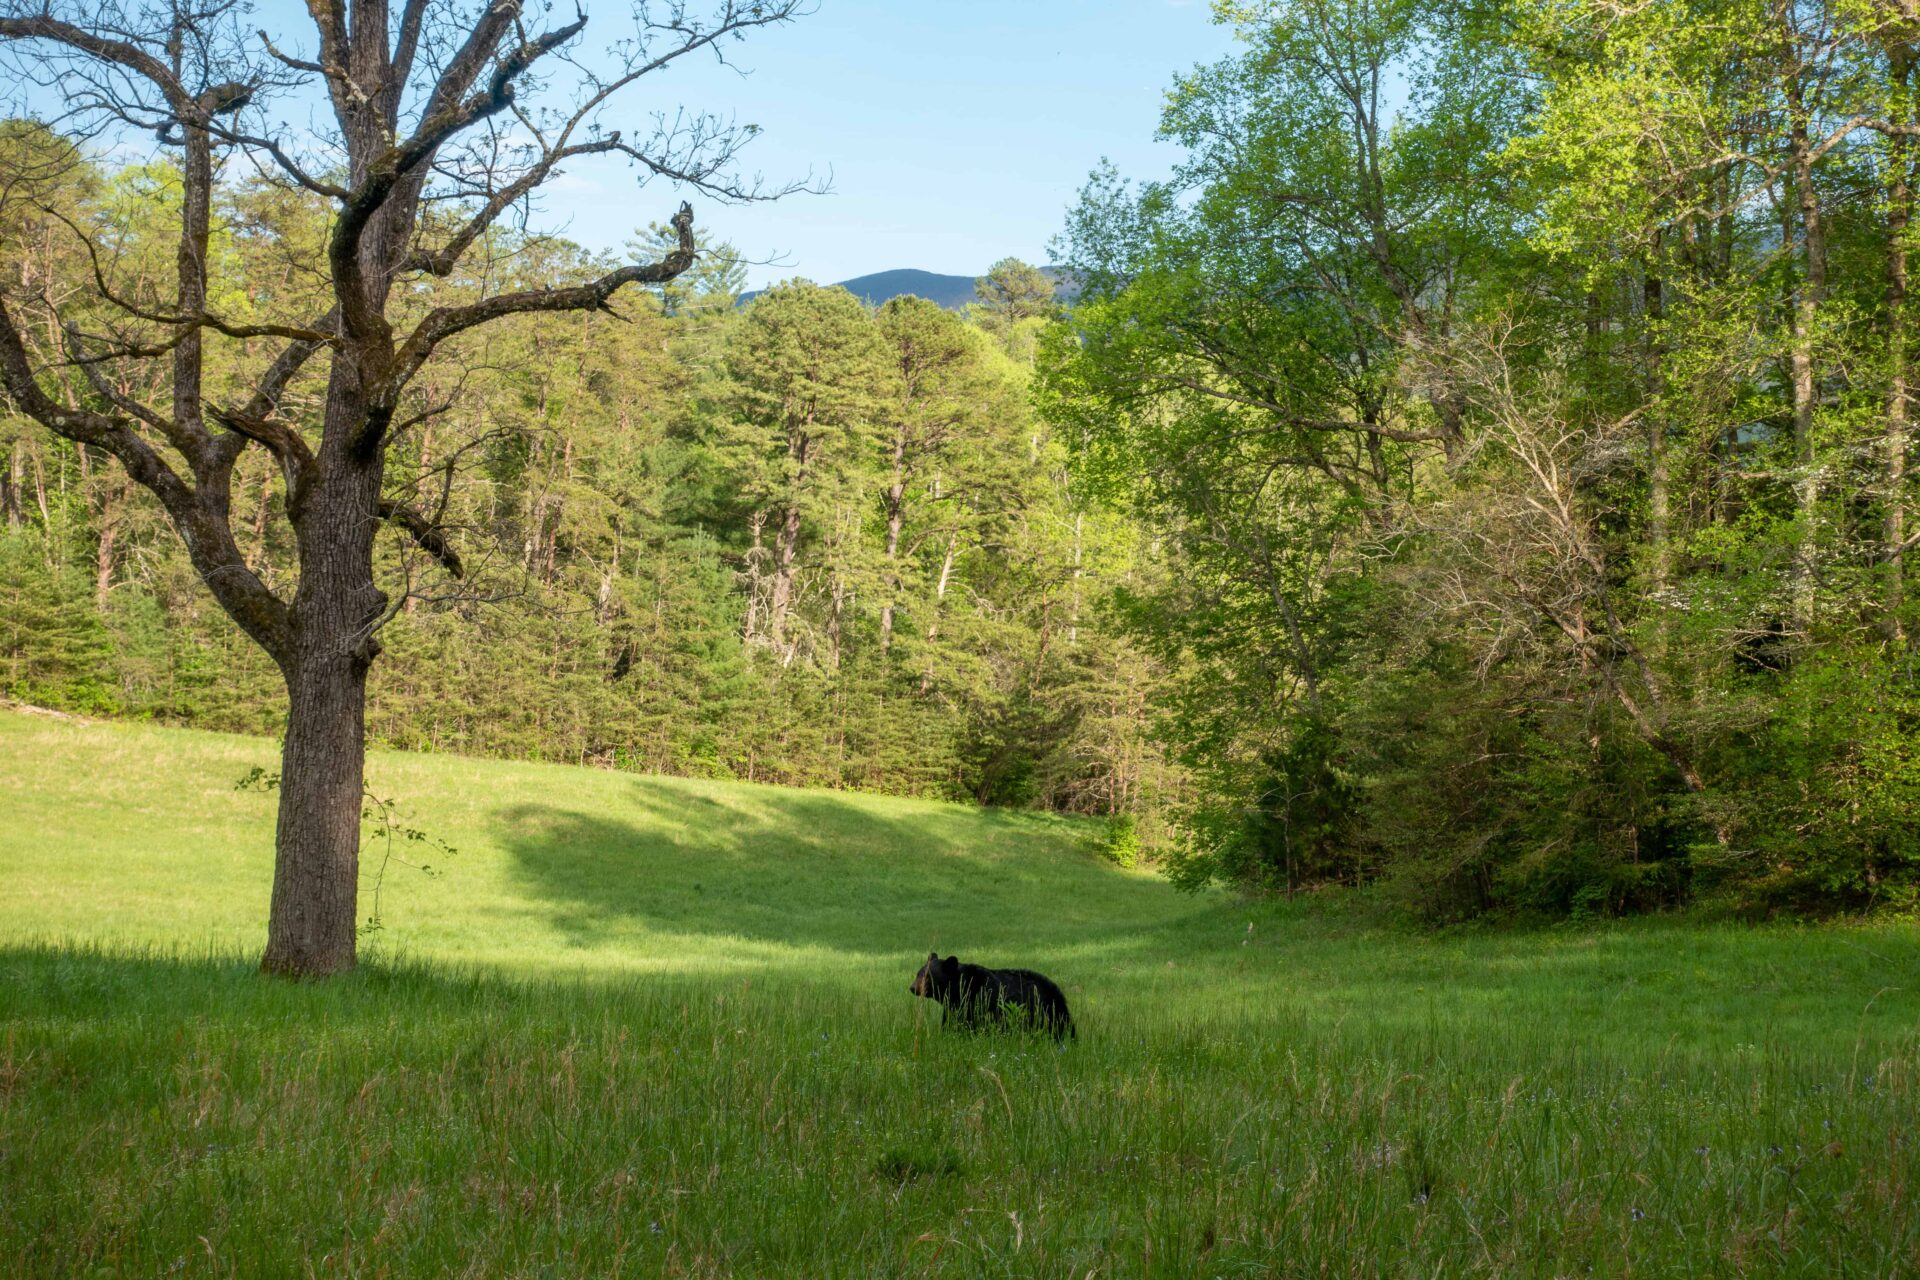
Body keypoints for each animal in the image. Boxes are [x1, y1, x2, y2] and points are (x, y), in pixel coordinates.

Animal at [906, 951, 1075, 1043]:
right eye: (918, 973)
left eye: (928, 976)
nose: (913, 988)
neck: (959, 989)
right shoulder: (955, 1007)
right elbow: (952, 1024)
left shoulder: (983, 1001)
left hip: (1051, 1011)